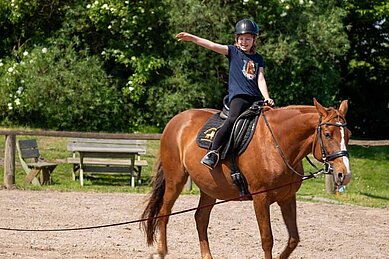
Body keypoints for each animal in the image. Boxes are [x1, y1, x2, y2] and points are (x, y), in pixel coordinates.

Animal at [141, 99, 350, 259]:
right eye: (328, 134)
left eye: (348, 135)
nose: (344, 174)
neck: (276, 144)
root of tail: (176, 120)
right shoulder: (260, 198)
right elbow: (267, 239)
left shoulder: (287, 198)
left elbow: (293, 239)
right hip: (175, 179)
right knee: (164, 212)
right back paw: (161, 251)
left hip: (209, 188)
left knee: (200, 218)